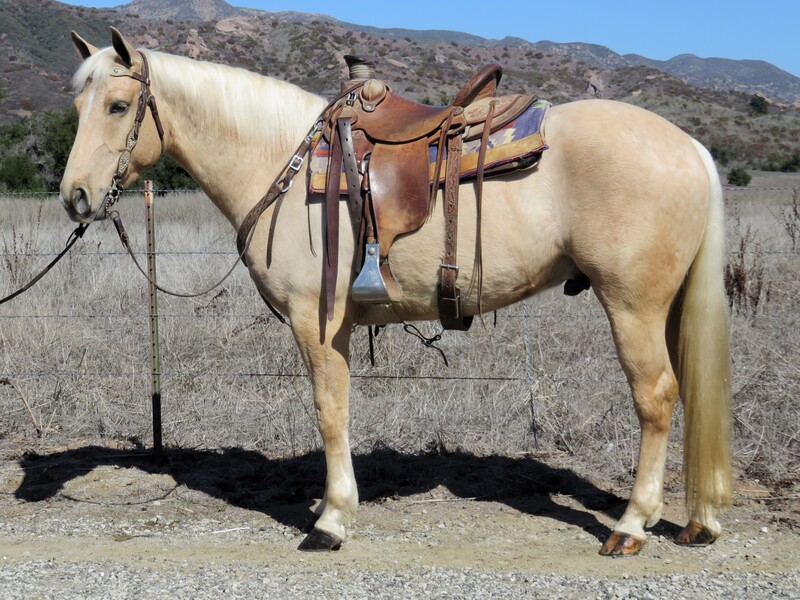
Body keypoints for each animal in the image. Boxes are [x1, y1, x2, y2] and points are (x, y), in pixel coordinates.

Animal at [59, 28, 732, 556]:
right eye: (79, 104)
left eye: (118, 105)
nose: (76, 197)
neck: (283, 163)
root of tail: (692, 147)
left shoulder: (317, 321)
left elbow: (330, 411)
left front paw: (332, 519)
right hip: (665, 306)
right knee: (691, 391)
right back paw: (698, 522)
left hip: (631, 304)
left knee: (657, 396)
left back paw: (632, 526)